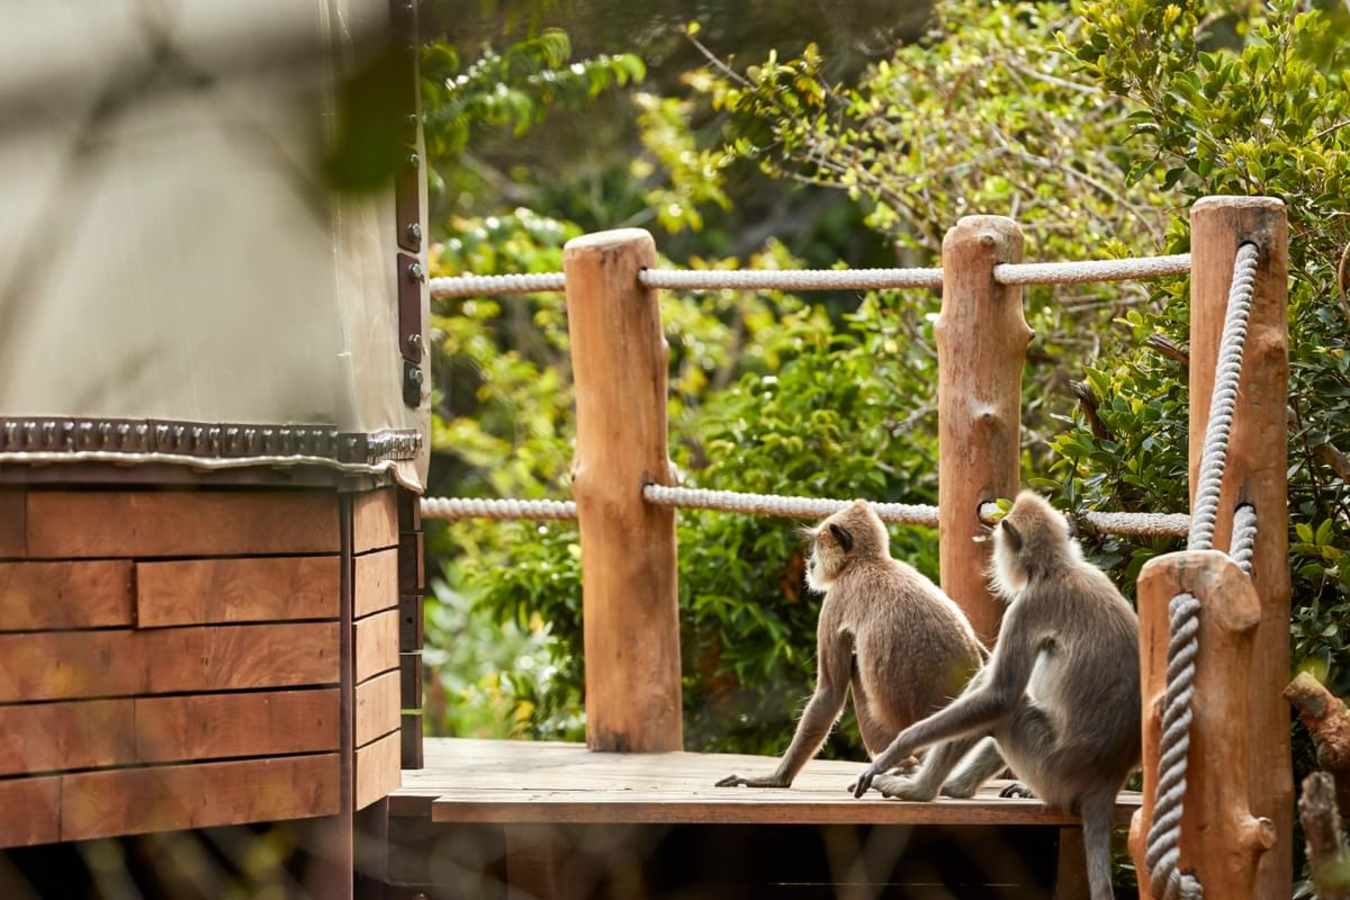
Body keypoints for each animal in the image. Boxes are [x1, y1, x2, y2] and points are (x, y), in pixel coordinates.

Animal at [716, 499, 984, 790]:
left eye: (817, 546)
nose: (810, 563)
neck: (871, 562)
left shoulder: (837, 596)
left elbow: (829, 694)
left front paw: (776, 779)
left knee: (854, 670)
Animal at [847, 490, 1140, 900]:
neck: (1061, 568)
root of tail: (1107, 778)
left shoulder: (1027, 606)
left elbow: (1000, 695)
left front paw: (894, 751)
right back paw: (954, 786)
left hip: (1051, 768)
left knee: (1006, 710)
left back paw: (920, 791)